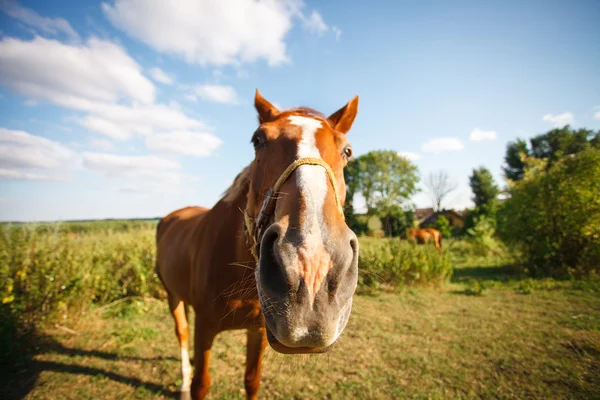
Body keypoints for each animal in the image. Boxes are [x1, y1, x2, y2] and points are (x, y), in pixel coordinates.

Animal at [156, 90, 360, 400]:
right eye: (258, 140)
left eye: (347, 151)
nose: (310, 270)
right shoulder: (204, 329)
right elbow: (201, 384)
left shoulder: (259, 331)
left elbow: (252, 380)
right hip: (173, 296)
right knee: (181, 333)